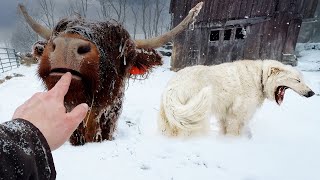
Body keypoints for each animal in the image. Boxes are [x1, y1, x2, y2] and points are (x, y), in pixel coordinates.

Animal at [158, 59, 316, 136]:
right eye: (297, 80)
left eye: (302, 80)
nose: (312, 93)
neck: (259, 78)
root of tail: (172, 86)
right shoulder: (237, 115)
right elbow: (234, 132)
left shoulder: (225, 115)